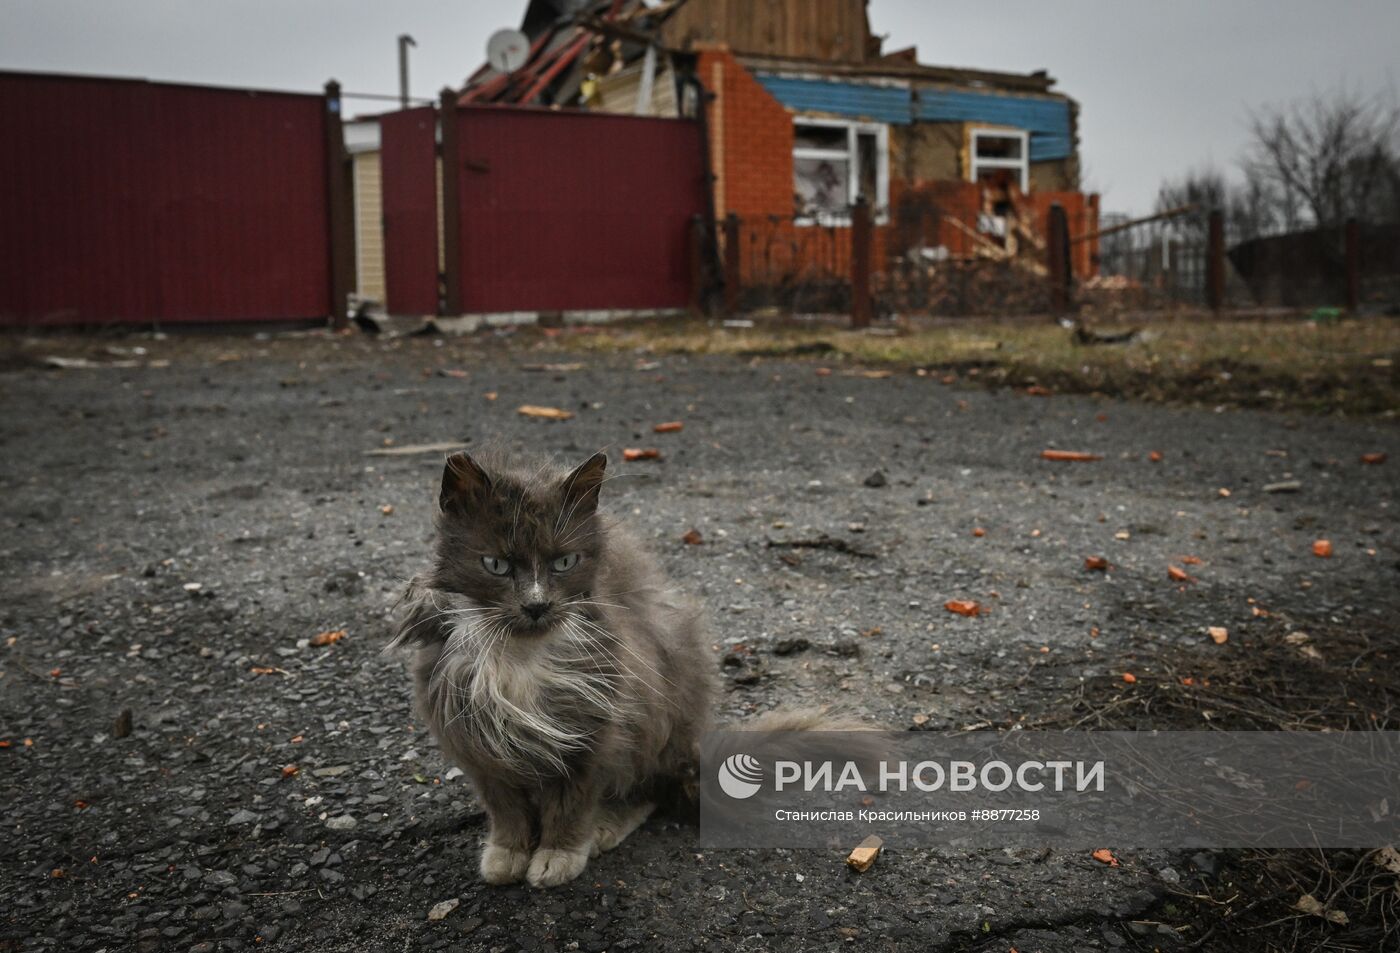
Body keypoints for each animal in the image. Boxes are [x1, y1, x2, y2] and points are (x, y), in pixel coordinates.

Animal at [389, 450, 716, 890]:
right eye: (496, 565)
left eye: (564, 562)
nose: (536, 605)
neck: (519, 656)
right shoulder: (476, 743)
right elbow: (506, 808)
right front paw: (508, 853)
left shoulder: (593, 735)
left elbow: (571, 806)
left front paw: (558, 856)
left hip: (658, 722)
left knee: (649, 791)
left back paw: (605, 827)